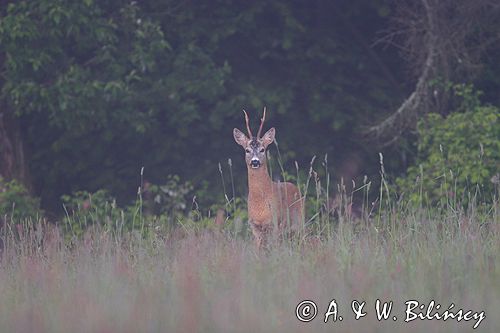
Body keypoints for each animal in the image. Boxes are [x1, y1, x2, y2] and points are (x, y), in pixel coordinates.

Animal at [232, 107, 302, 248]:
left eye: (262, 149)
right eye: (247, 150)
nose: (255, 162)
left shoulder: (275, 222)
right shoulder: (254, 226)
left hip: (299, 221)